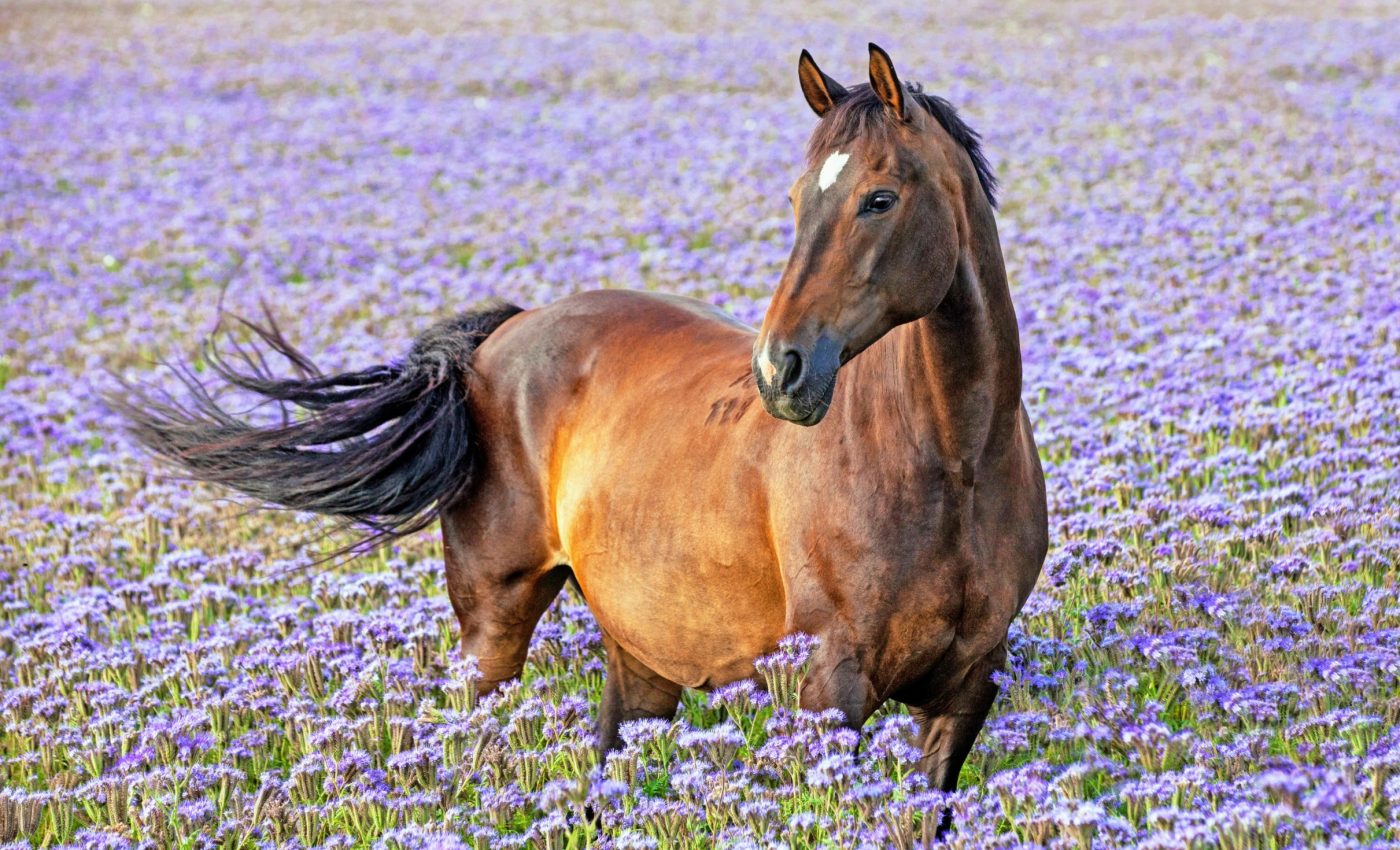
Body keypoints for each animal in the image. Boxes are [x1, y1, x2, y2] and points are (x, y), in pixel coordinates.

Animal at [114, 44, 1047, 796]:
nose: (780, 369)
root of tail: (506, 332)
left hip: (641, 654)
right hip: (492, 629)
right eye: (795, 199)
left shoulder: (964, 695)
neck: (951, 459)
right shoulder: (829, 690)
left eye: (879, 199)